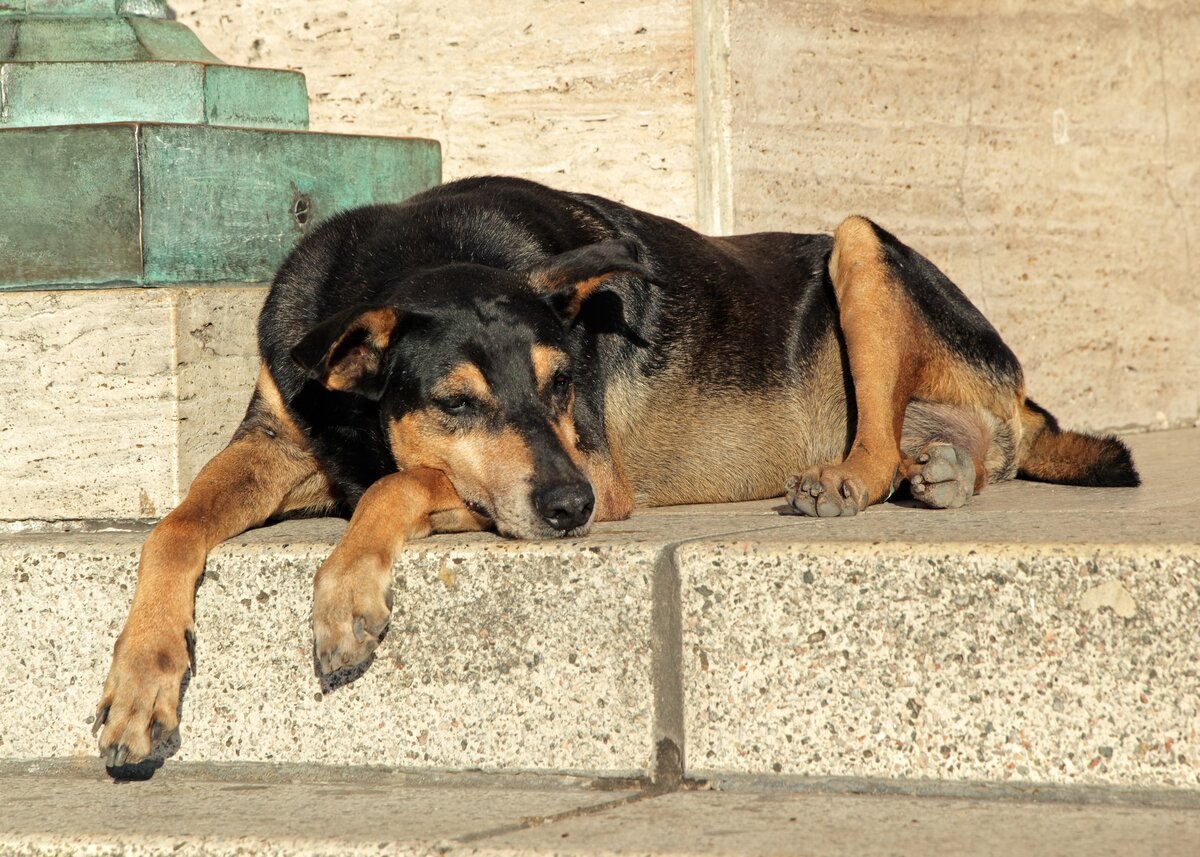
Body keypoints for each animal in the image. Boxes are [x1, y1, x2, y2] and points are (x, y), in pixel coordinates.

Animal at [91, 174, 1132, 763]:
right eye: (456, 403)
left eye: (561, 383)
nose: (571, 508)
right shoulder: (276, 443)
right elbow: (174, 525)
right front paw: (141, 681)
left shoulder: (597, 465)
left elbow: (408, 480)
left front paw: (347, 591)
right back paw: (942, 464)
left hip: (858, 239)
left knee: (877, 435)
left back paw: (853, 476)